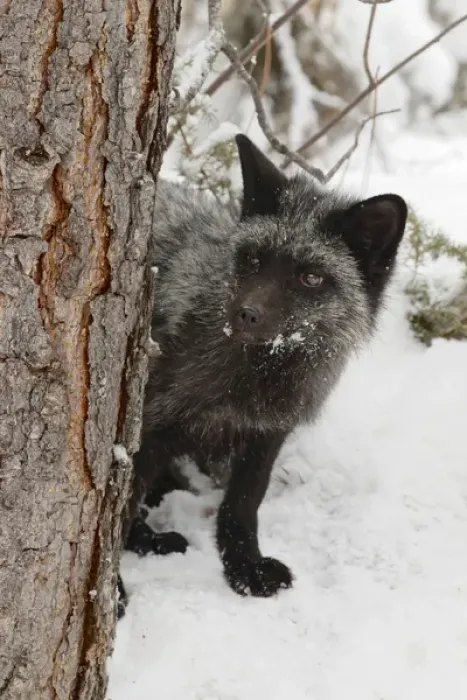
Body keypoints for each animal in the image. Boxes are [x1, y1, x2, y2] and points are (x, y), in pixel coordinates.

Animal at [117, 134, 407, 615]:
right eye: (252, 258)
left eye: (312, 277)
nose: (245, 314)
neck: (256, 375)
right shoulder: (148, 431)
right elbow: (113, 513)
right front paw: (110, 589)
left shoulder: (266, 434)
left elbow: (242, 504)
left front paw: (244, 569)